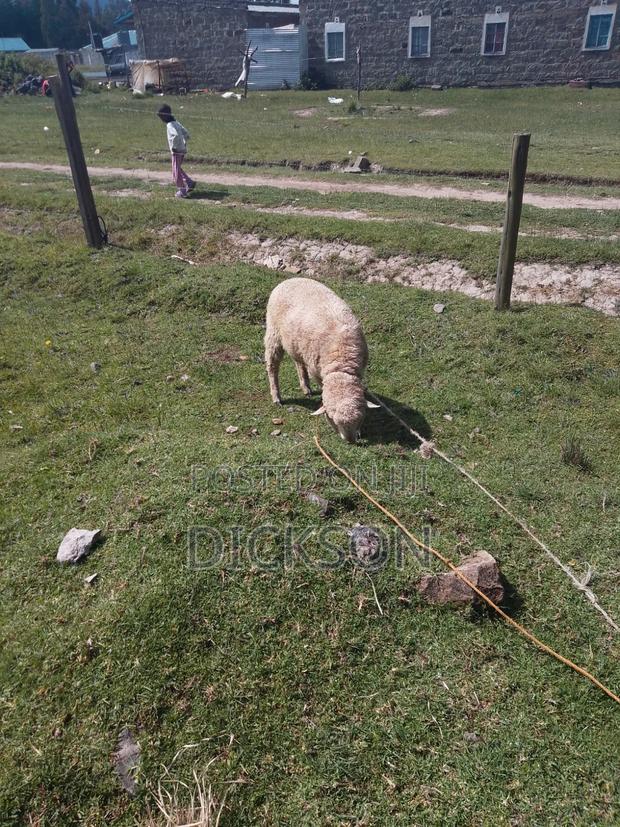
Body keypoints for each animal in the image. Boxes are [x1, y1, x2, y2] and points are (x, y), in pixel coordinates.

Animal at [264, 277, 378, 443]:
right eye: (332, 419)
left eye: (360, 418)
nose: (350, 440)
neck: (341, 362)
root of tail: (290, 279)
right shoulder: (317, 371)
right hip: (274, 333)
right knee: (272, 366)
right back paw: (276, 396)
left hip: (297, 344)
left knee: (298, 362)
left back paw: (306, 387)